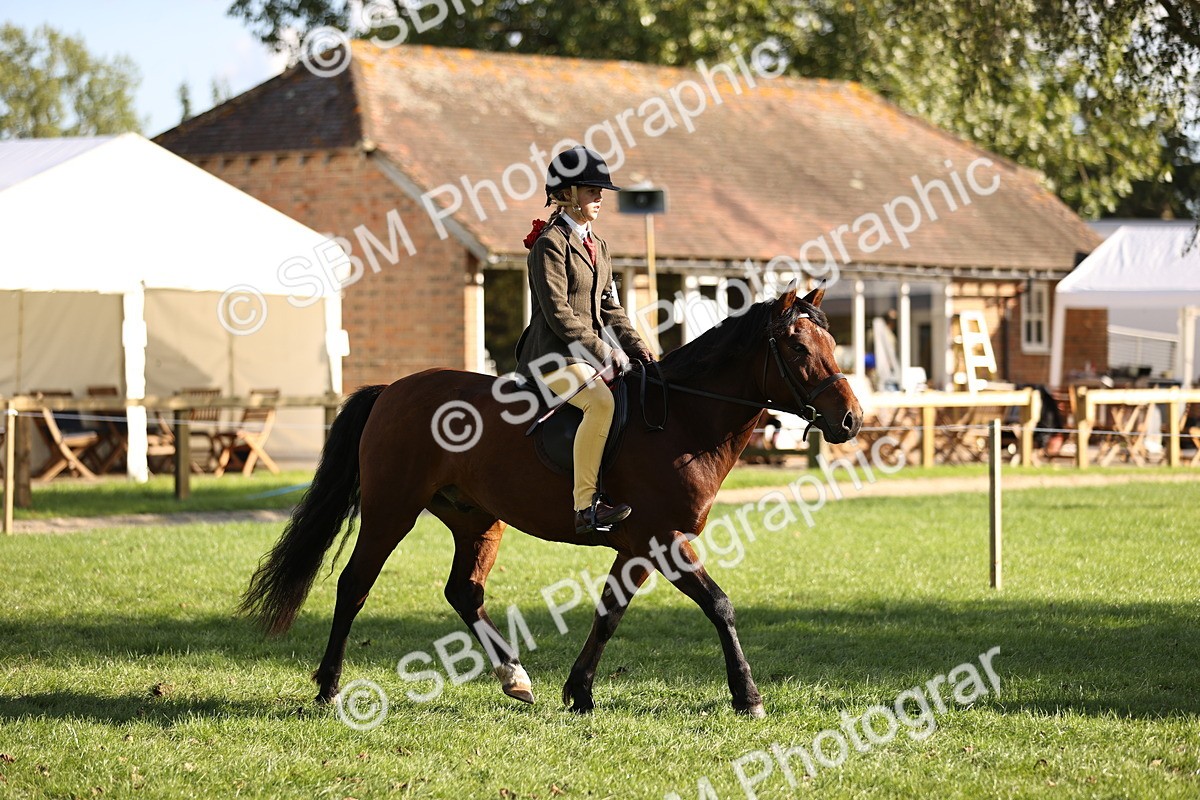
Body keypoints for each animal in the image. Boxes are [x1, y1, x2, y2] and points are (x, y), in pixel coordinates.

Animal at [238, 285, 862, 717]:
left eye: (833, 344)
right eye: (799, 347)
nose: (851, 421)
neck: (682, 419)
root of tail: (391, 390)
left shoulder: (638, 546)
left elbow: (609, 613)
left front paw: (578, 692)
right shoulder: (663, 540)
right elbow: (720, 605)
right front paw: (748, 696)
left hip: (477, 520)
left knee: (464, 592)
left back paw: (515, 678)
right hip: (392, 511)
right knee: (354, 585)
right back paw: (328, 686)